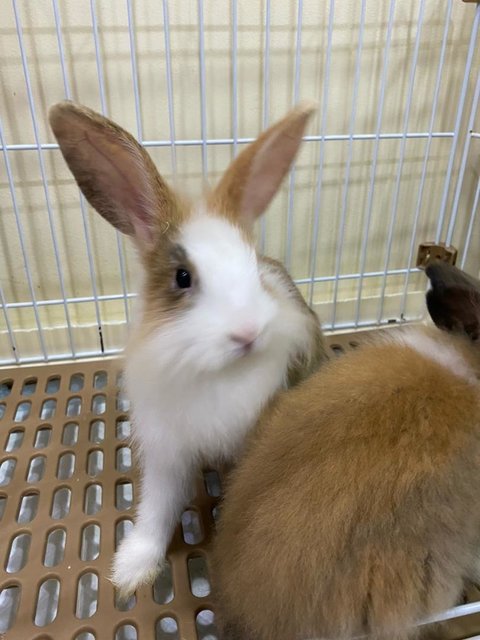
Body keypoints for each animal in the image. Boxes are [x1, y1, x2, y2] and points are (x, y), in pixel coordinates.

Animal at [49, 100, 326, 596]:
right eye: (182, 278)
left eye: (254, 271)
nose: (247, 332)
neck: (217, 374)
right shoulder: (166, 451)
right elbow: (156, 509)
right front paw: (130, 571)